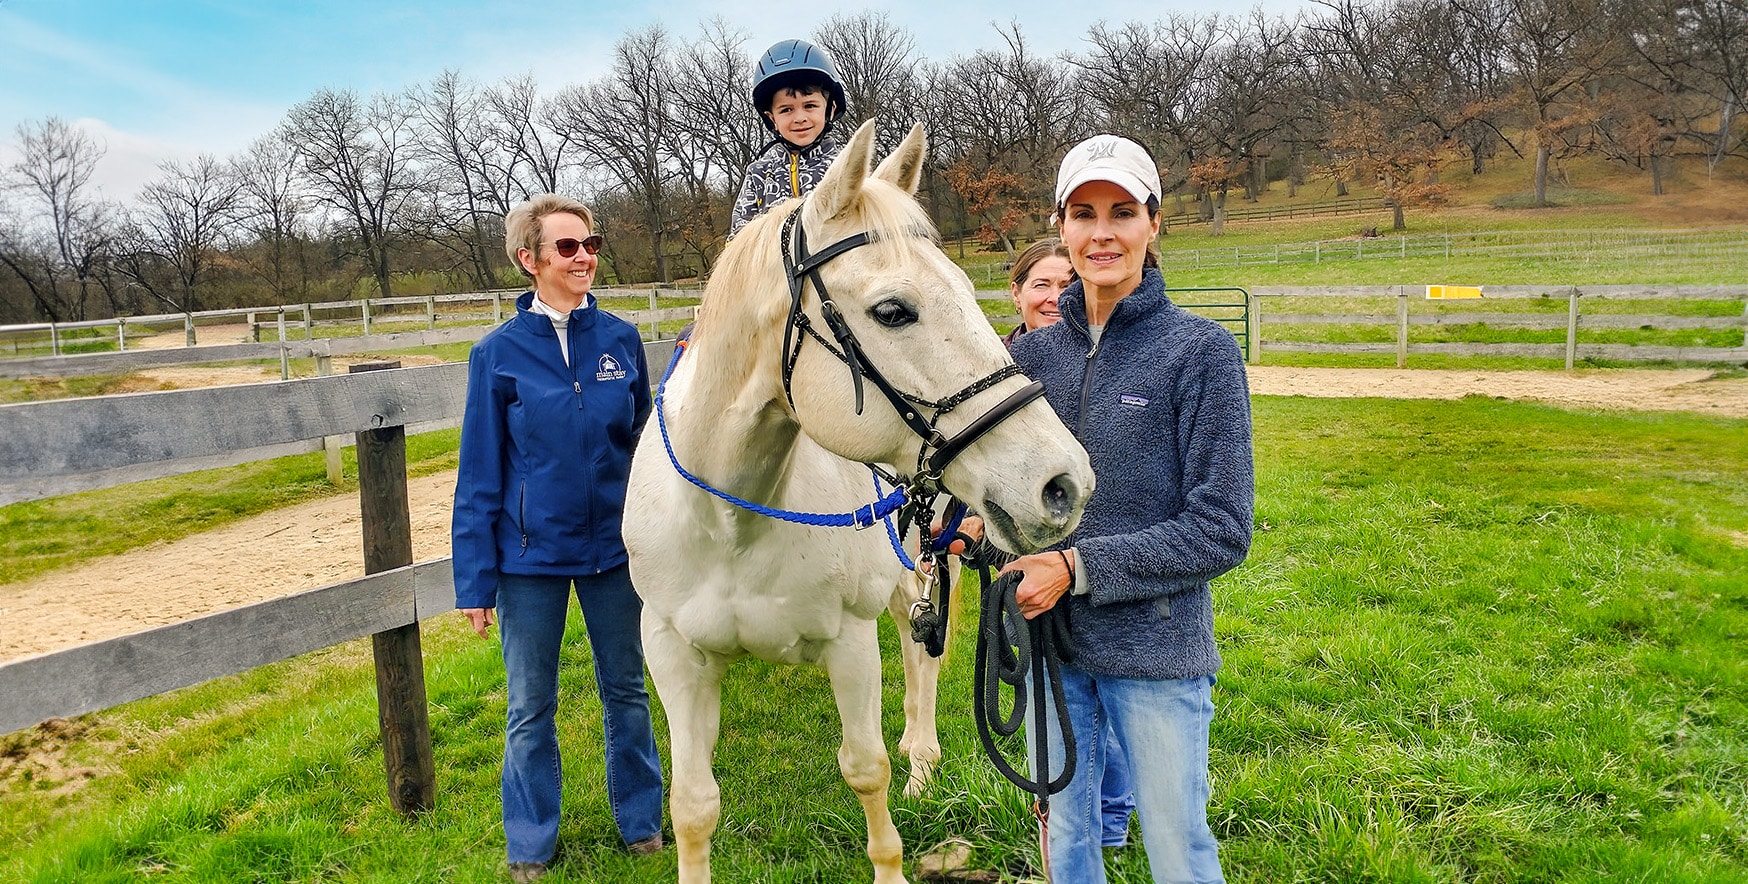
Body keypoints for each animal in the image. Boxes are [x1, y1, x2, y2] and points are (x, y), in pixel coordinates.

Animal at [625, 118, 1090, 884]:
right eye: (893, 311)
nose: (1063, 482)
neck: (734, 523)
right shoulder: (673, 654)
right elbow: (692, 803)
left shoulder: (848, 643)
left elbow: (866, 770)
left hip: (932, 561)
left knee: (921, 654)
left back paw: (923, 765)